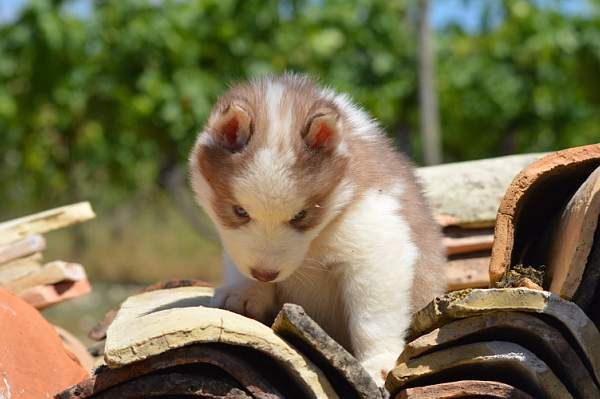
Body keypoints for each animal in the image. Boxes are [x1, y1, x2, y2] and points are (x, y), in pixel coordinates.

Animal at [188, 73, 446, 382]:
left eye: (300, 215)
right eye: (240, 211)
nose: (265, 274)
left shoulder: (375, 240)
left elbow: (373, 315)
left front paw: (378, 360)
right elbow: (238, 263)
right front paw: (245, 291)